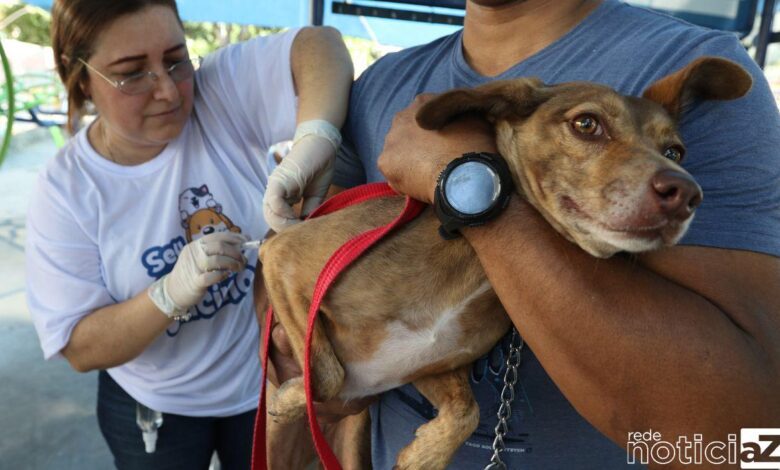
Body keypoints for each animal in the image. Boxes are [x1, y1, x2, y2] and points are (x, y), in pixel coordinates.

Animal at [258, 57, 752, 470]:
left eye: (675, 152)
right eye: (587, 124)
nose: (685, 194)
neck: (472, 262)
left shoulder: (425, 363)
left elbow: (466, 411)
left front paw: (424, 455)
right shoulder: (281, 256)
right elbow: (328, 377)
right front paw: (290, 395)